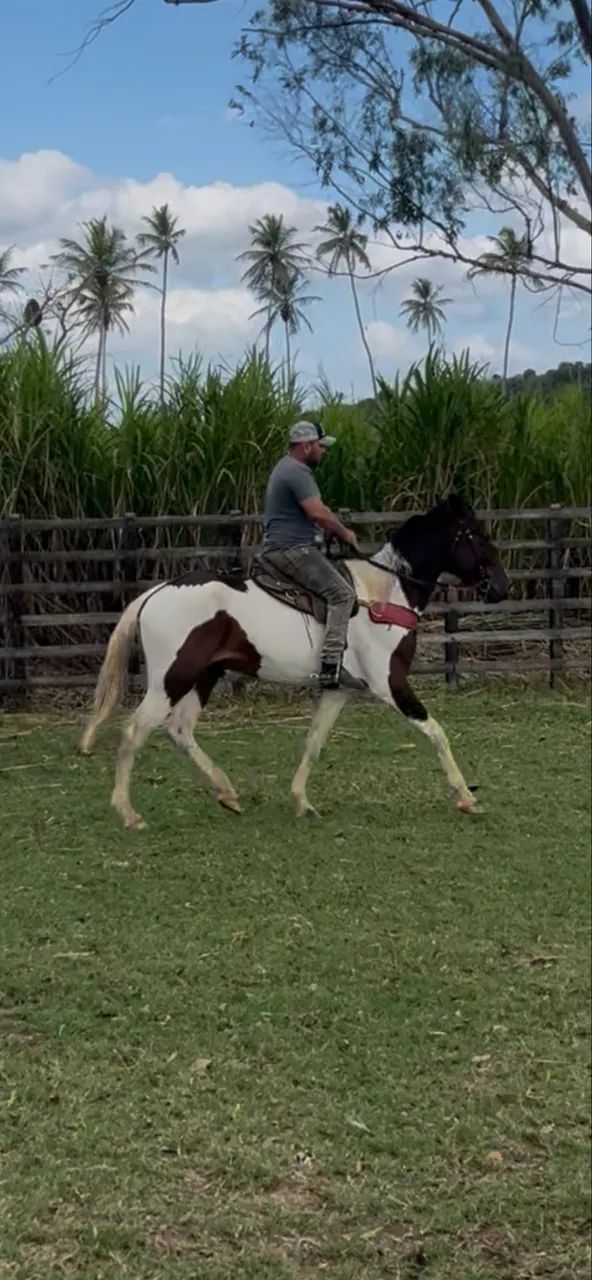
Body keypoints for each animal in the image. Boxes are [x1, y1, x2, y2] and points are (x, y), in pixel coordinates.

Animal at [79, 494, 509, 829]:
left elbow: (313, 742)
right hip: (170, 679)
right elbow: (437, 733)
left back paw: (227, 792)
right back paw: (129, 812)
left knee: (180, 730)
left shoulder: (338, 691)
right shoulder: (390, 683)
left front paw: (302, 801)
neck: (383, 596)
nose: (502, 587)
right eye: (477, 536)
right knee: (134, 732)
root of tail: (156, 592)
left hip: (203, 677)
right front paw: (466, 796)